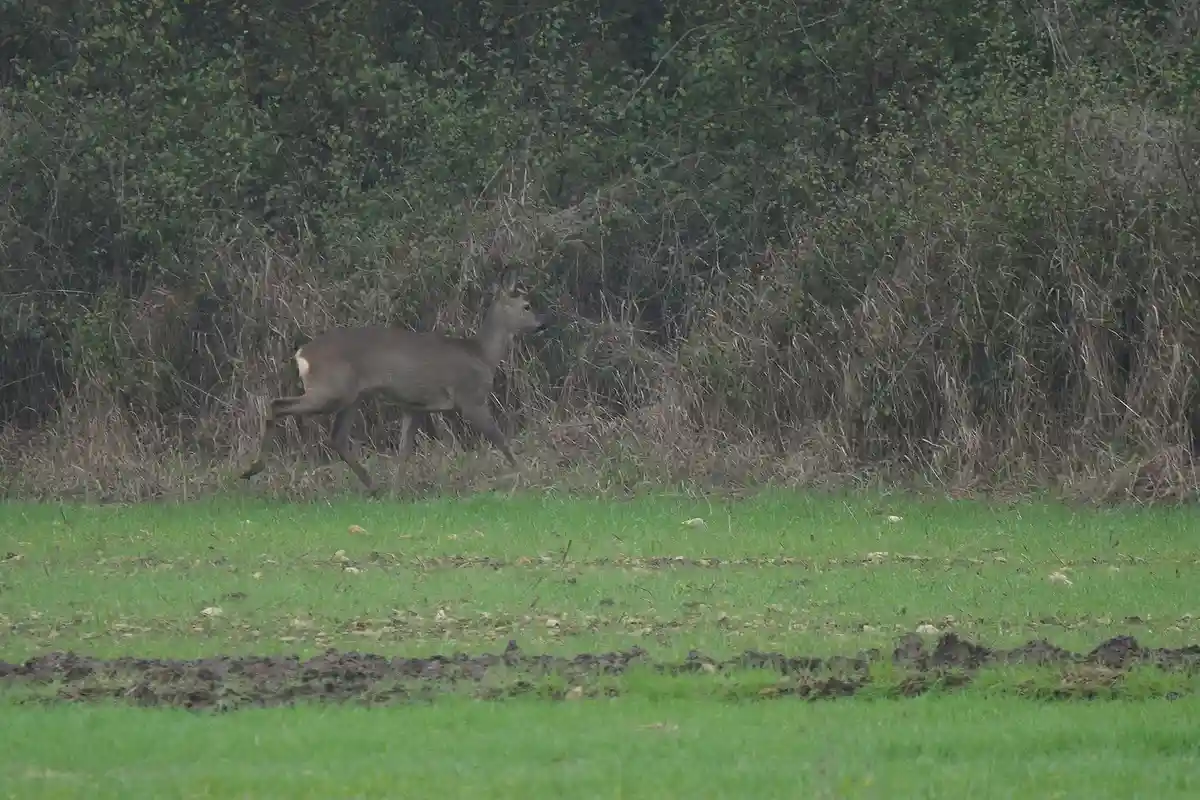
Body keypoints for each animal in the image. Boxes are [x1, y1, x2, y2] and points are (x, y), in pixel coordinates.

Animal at [239, 271, 547, 495]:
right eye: (526, 305)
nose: (542, 324)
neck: (483, 355)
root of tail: (302, 354)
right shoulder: (470, 399)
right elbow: (500, 439)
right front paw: (528, 476)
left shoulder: (415, 406)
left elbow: (403, 451)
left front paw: (397, 491)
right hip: (330, 391)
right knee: (277, 404)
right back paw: (252, 468)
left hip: (351, 397)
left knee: (337, 437)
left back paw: (374, 487)